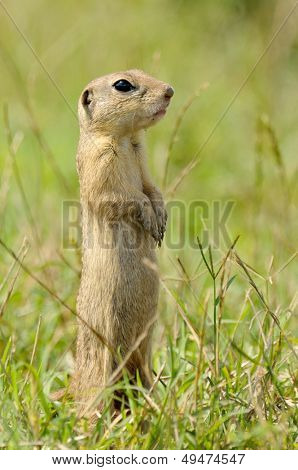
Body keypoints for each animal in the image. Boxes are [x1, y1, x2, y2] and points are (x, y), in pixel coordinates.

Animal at [73, 68, 173, 414]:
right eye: (122, 85)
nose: (169, 90)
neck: (127, 140)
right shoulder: (100, 164)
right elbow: (121, 197)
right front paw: (150, 218)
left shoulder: (143, 163)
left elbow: (152, 189)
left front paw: (161, 219)